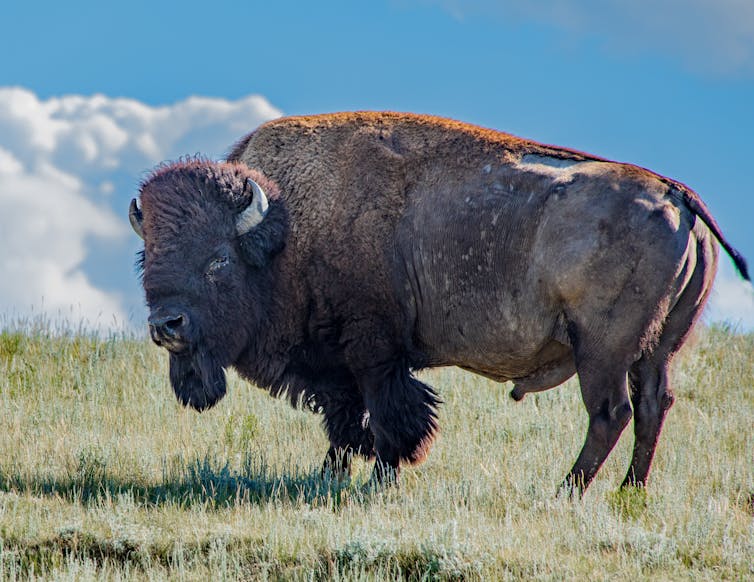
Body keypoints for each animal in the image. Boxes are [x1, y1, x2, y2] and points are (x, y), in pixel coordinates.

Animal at [129, 113, 748, 498]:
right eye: (147, 257)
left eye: (218, 260)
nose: (167, 324)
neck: (286, 227)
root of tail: (677, 195)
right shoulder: (335, 367)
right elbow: (343, 423)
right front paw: (331, 476)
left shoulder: (373, 352)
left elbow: (388, 417)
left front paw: (382, 478)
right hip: (659, 348)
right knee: (653, 407)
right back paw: (629, 493)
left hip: (603, 348)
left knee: (611, 413)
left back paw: (564, 493)